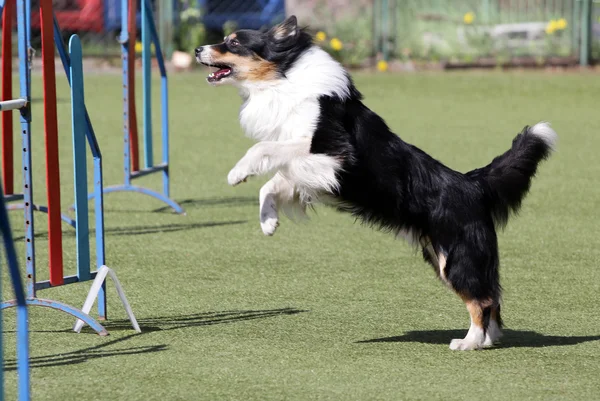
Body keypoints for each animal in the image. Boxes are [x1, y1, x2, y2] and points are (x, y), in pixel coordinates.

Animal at [196, 15, 556, 348]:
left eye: (233, 42)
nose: (198, 49)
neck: (284, 79)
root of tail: (473, 184)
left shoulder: (335, 157)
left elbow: (266, 149)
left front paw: (238, 172)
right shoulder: (313, 173)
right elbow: (274, 182)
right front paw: (268, 222)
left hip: (456, 257)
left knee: (481, 299)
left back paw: (468, 342)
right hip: (443, 256)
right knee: (492, 297)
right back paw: (488, 340)